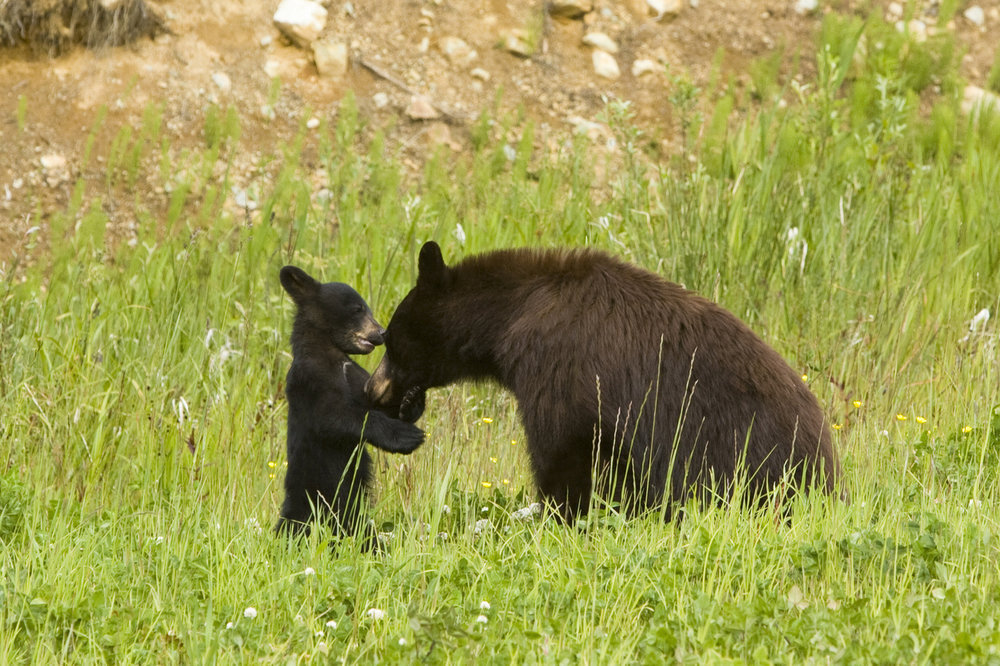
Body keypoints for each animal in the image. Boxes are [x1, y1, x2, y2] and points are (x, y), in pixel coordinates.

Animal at [278, 264, 426, 540]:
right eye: (357, 309)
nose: (381, 333)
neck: (331, 354)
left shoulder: (357, 376)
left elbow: (375, 402)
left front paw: (411, 399)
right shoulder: (308, 380)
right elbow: (334, 416)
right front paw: (406, 436)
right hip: (313, 490)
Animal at [368, 241, 844, 516]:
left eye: (391, 340)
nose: (375, 391)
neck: (511, 315)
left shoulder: (555, 367)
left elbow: (559, 451)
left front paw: (561, 515)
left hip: (733, 447)